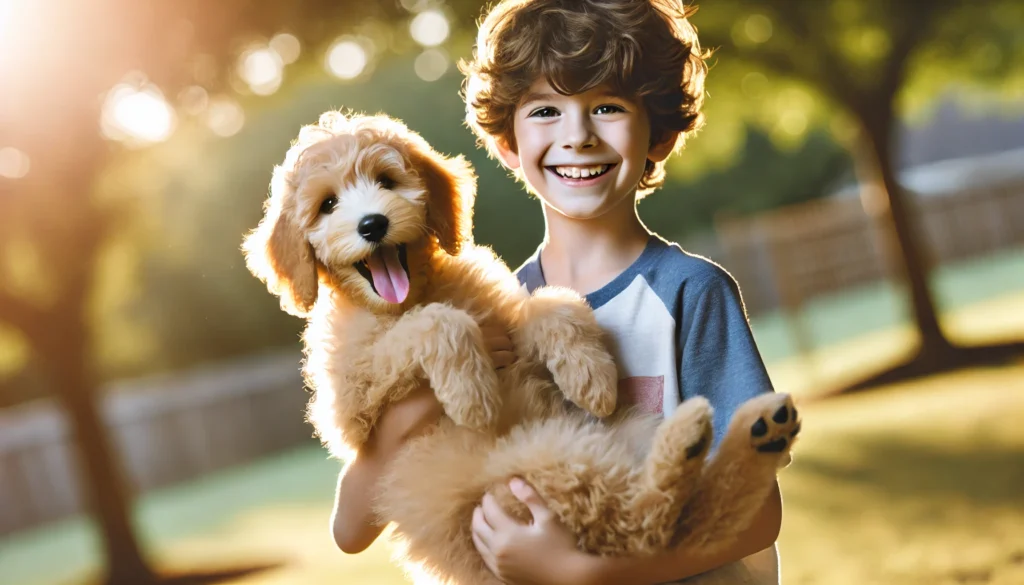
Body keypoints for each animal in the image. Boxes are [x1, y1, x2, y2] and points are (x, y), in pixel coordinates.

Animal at [241, 112, 798, 581]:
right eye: (328, 204)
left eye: (386, 180)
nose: (372, 224)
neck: (411, 295)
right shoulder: (349, 404)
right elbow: (433, 325)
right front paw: (472, 395)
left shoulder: (504, 324)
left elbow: (548, 303)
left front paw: (590, 374)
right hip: (543, 461)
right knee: (650, 525)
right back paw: (721, 438)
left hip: (605, 441)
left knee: (678, 523)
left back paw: (750, 432)